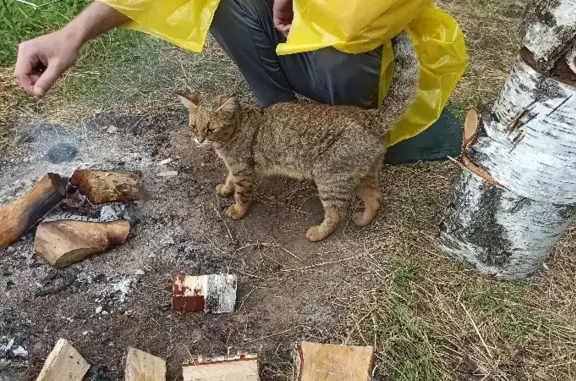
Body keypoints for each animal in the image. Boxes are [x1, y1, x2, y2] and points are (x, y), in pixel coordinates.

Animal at [179, 31, 418, 240]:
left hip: (330, 177)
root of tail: (371, 116)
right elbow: (229, 179)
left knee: (337, 212)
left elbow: (241, 194)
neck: (234, 131)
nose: (200, 139)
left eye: (210, 129)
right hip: (361, 173)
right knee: (375, 198)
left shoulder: (243, 170)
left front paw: (237, 210)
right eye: (193, 126)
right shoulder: (235, 167)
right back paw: (363, 219)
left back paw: (318, 233)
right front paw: (225, 188)